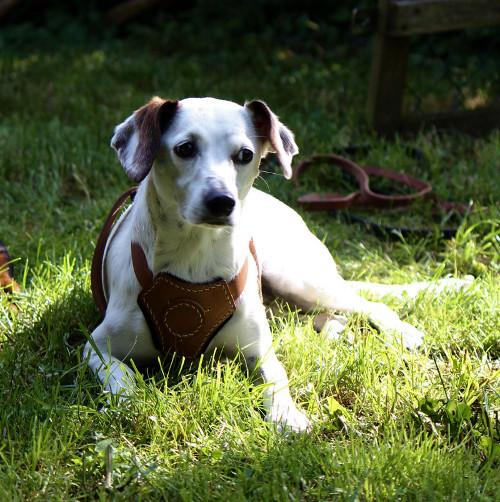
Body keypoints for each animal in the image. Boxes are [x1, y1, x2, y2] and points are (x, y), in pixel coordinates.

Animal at [84, 98, 470, 432]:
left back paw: (401, 332)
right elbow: (121, 376)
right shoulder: (97, 347)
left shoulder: (259, 350)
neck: (194, 260)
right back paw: (335, 330)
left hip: (297, 279)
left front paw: (286, 414)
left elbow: (277, 376)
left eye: (244, 155)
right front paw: (127, 403)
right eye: (184, 148)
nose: (221, 202)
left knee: (370, 305)